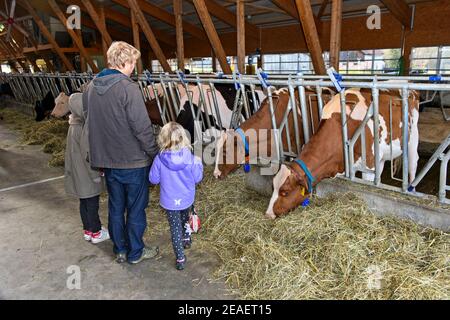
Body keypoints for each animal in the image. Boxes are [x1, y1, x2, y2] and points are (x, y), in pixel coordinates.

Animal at [266, 86, 420, 219]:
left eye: (285, 192)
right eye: (273, 186)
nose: (268, 214)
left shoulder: (369, 165)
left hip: (412, 139)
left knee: (413, 165)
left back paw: (411, 190)